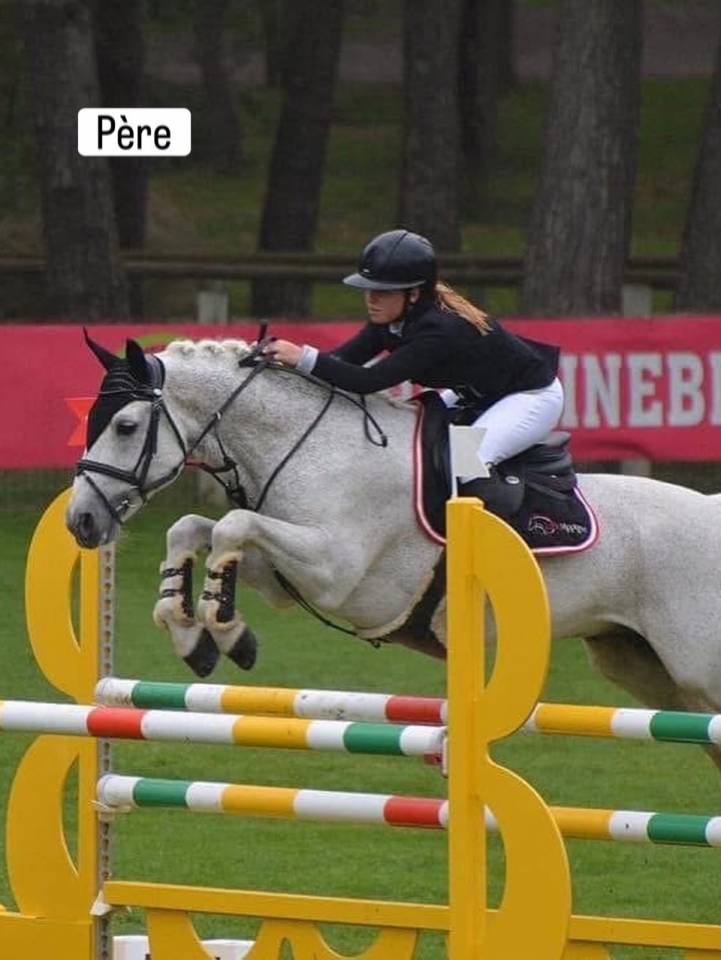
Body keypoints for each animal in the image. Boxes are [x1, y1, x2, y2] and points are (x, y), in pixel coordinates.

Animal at [65, 337, 721, 769]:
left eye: (125, 426)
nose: (81, 521)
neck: (313, 448)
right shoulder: (285, 577)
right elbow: (193, 529)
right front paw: (194, 636)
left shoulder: (337, 572)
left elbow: (230, 525)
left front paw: (227, 635)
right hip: (642, 667)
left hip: (695, 669)